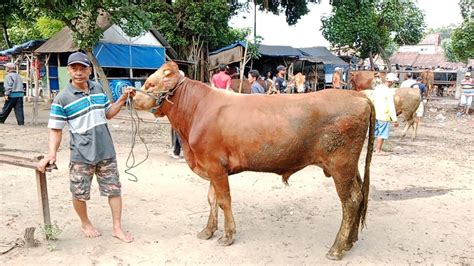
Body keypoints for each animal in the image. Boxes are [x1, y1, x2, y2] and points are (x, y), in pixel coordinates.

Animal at [132, 60, 374, 260]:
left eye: (151, 84)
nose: (132, 96)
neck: (196, 111)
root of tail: (358, 96)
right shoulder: (211, 167)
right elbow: (211, 200)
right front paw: (208, 231)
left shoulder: (216, 167)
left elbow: (224, 201)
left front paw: (228, 235)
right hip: (350, 167)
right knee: (360, 195)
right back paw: (350, 242)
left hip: (341, 166)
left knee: (350, 202)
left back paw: (337, 248)